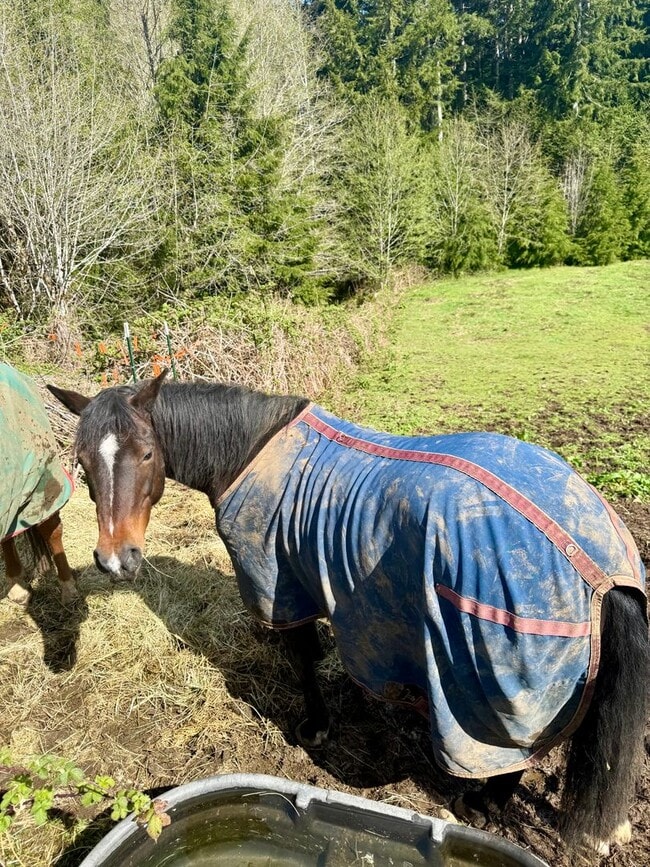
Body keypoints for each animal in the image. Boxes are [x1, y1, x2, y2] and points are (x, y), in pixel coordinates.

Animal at [48, 371, 648, 855]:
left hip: (500, 686)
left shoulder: (279, 586)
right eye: (83, 463)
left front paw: (314, 727)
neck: (251, 454)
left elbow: (302, 659)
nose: (114, 560)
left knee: (512, 755)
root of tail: (597, 566)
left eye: (147, 454)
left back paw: (481, 807)